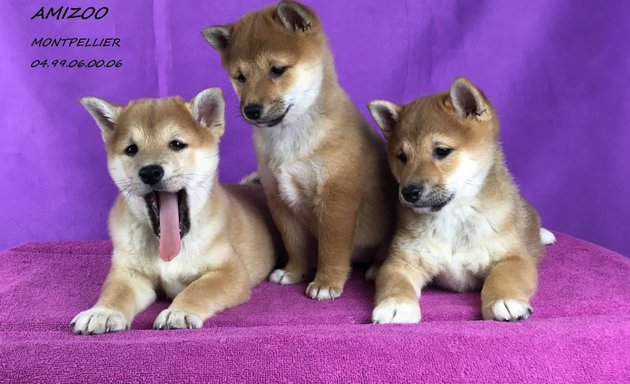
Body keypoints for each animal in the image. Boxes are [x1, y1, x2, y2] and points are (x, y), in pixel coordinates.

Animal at [71, 87, 282, 332]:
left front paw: (179, 311)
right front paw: (103, 312)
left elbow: (199, 290)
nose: (150, 172)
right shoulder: (130, 274)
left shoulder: (230, 272)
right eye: (131, 149)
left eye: (177, 144)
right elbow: (115, 292)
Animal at [205, 0, 398, 300]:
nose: (251, 109)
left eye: (277, 69)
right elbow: (295, 245)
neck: (290, 137)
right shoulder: (280, 199)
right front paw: (294, 272)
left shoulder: (336, 199)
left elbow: (332, 249)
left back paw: (376, 268)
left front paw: (327, 282)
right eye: (240, 77)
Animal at [368, 76, 556, 322]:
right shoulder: (404, 261)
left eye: (441, 151)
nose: (409, 192)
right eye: (402, 157)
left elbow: (504, 279)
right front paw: (395, 305)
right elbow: (393, 282)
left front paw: (505, 300)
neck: (454, 215)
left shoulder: (513, 258)